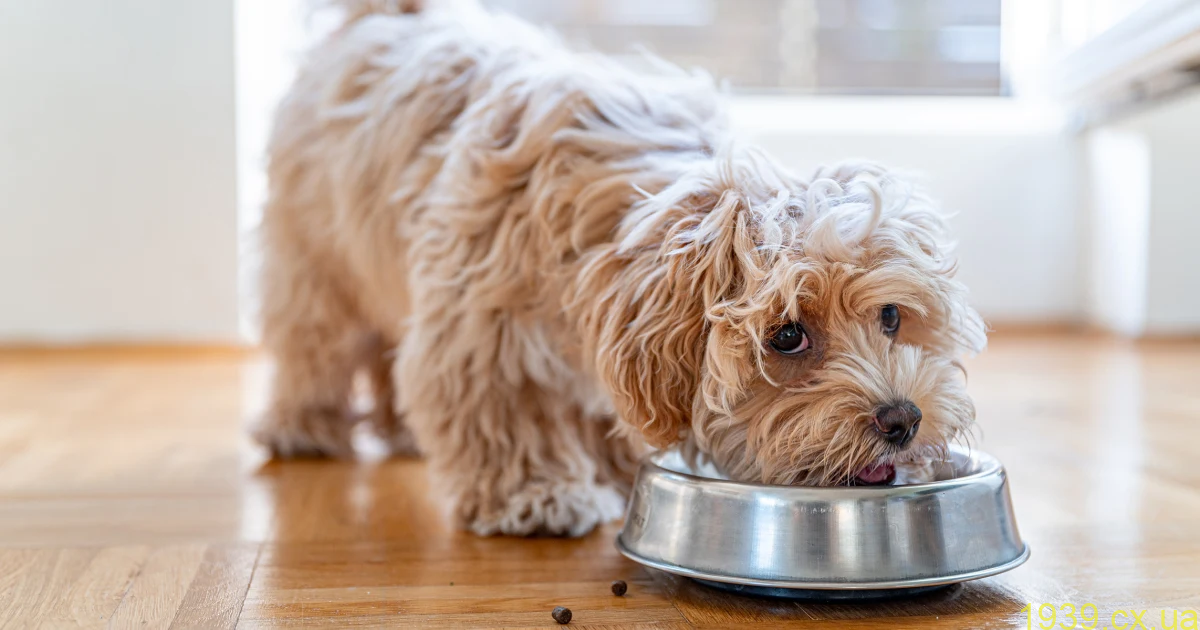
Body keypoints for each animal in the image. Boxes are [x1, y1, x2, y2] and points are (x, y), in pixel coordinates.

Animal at [253, 0, 984, 535]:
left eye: (890, 316)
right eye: (787, 336)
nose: (902, 420)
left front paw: (608, 466)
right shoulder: (481, 325)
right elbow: (502, 405)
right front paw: (536, 493)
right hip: (316, 255)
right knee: (315, 339)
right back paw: (305, 424)